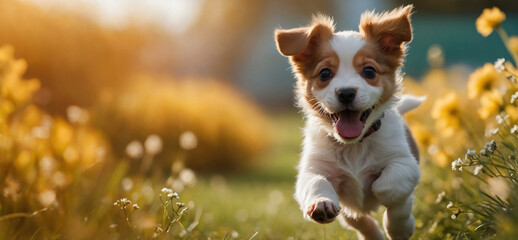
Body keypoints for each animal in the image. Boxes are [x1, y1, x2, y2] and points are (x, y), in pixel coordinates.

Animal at [276, 4, 422, 239]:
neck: (354, 145)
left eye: (369, 71)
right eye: (325, 73)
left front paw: (389, 207)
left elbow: (390, 186)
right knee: (357, 220)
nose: (345, 93)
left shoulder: (406, 163)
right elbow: (315, 182)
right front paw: (321, 203)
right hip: (346, 213)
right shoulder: (312, 169)